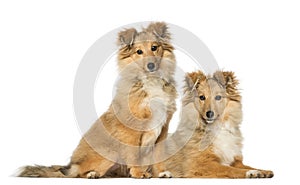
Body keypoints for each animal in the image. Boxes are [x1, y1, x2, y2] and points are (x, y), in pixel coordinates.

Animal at [17, 21, 177, 178]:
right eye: (139, 52)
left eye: (154, 48)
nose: (151, 65)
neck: (151, 81)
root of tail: (72, 164)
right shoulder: (132, 130)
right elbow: (134, 155)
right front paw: (139, 173)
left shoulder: (163, 129)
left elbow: (159, 155)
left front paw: (161, 172)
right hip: (109, 153)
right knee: (78, 173)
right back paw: (92, 174)